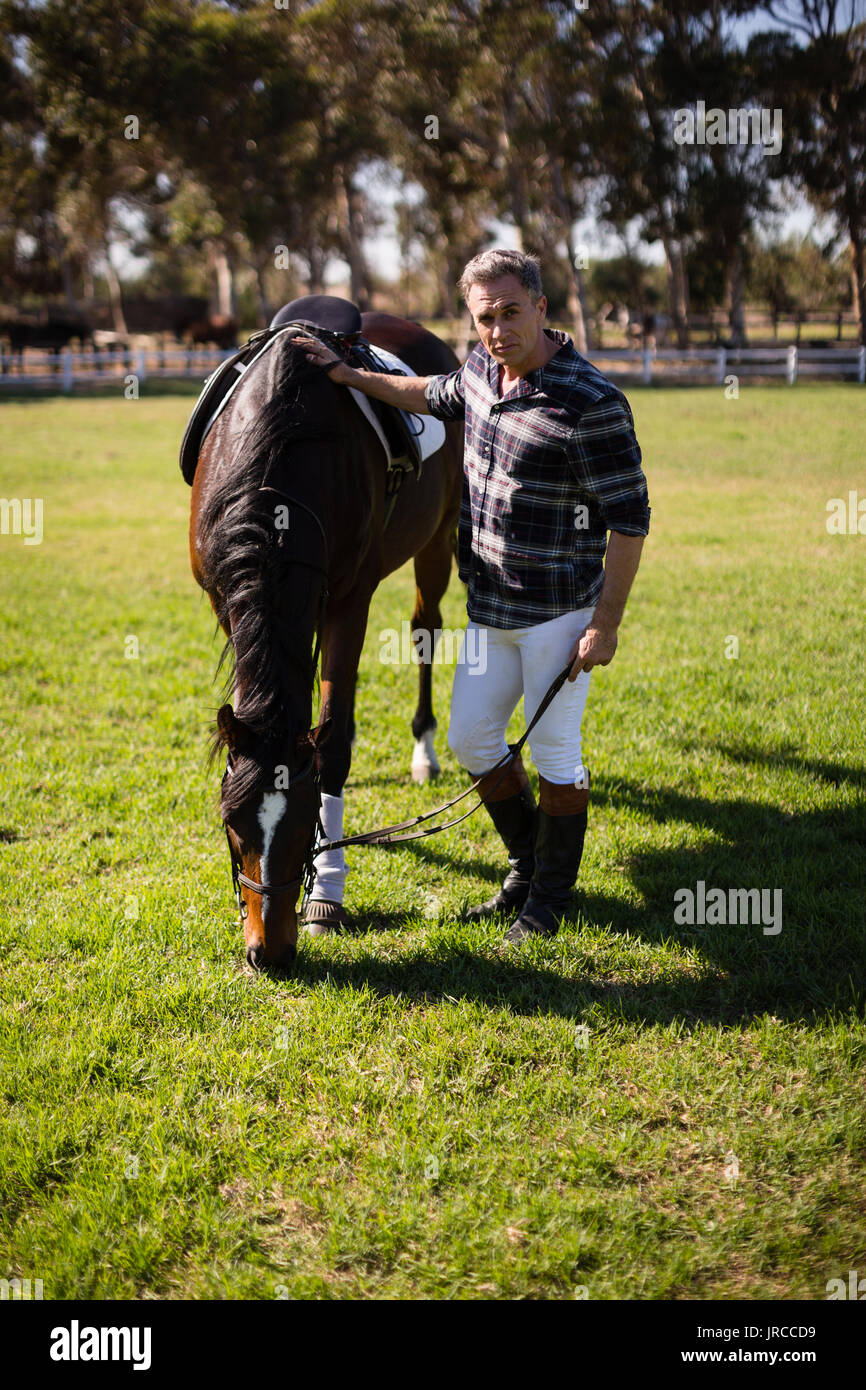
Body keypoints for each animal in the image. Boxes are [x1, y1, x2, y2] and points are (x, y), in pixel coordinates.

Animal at [189, 310, 463, 970]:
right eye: (232, 825)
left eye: (302, 826)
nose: (269, 953)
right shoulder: (226, 598)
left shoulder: (348, 599)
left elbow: (332, 748)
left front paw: (326, 893)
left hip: (437, 539)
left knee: (425, 631)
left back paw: (424, 749)